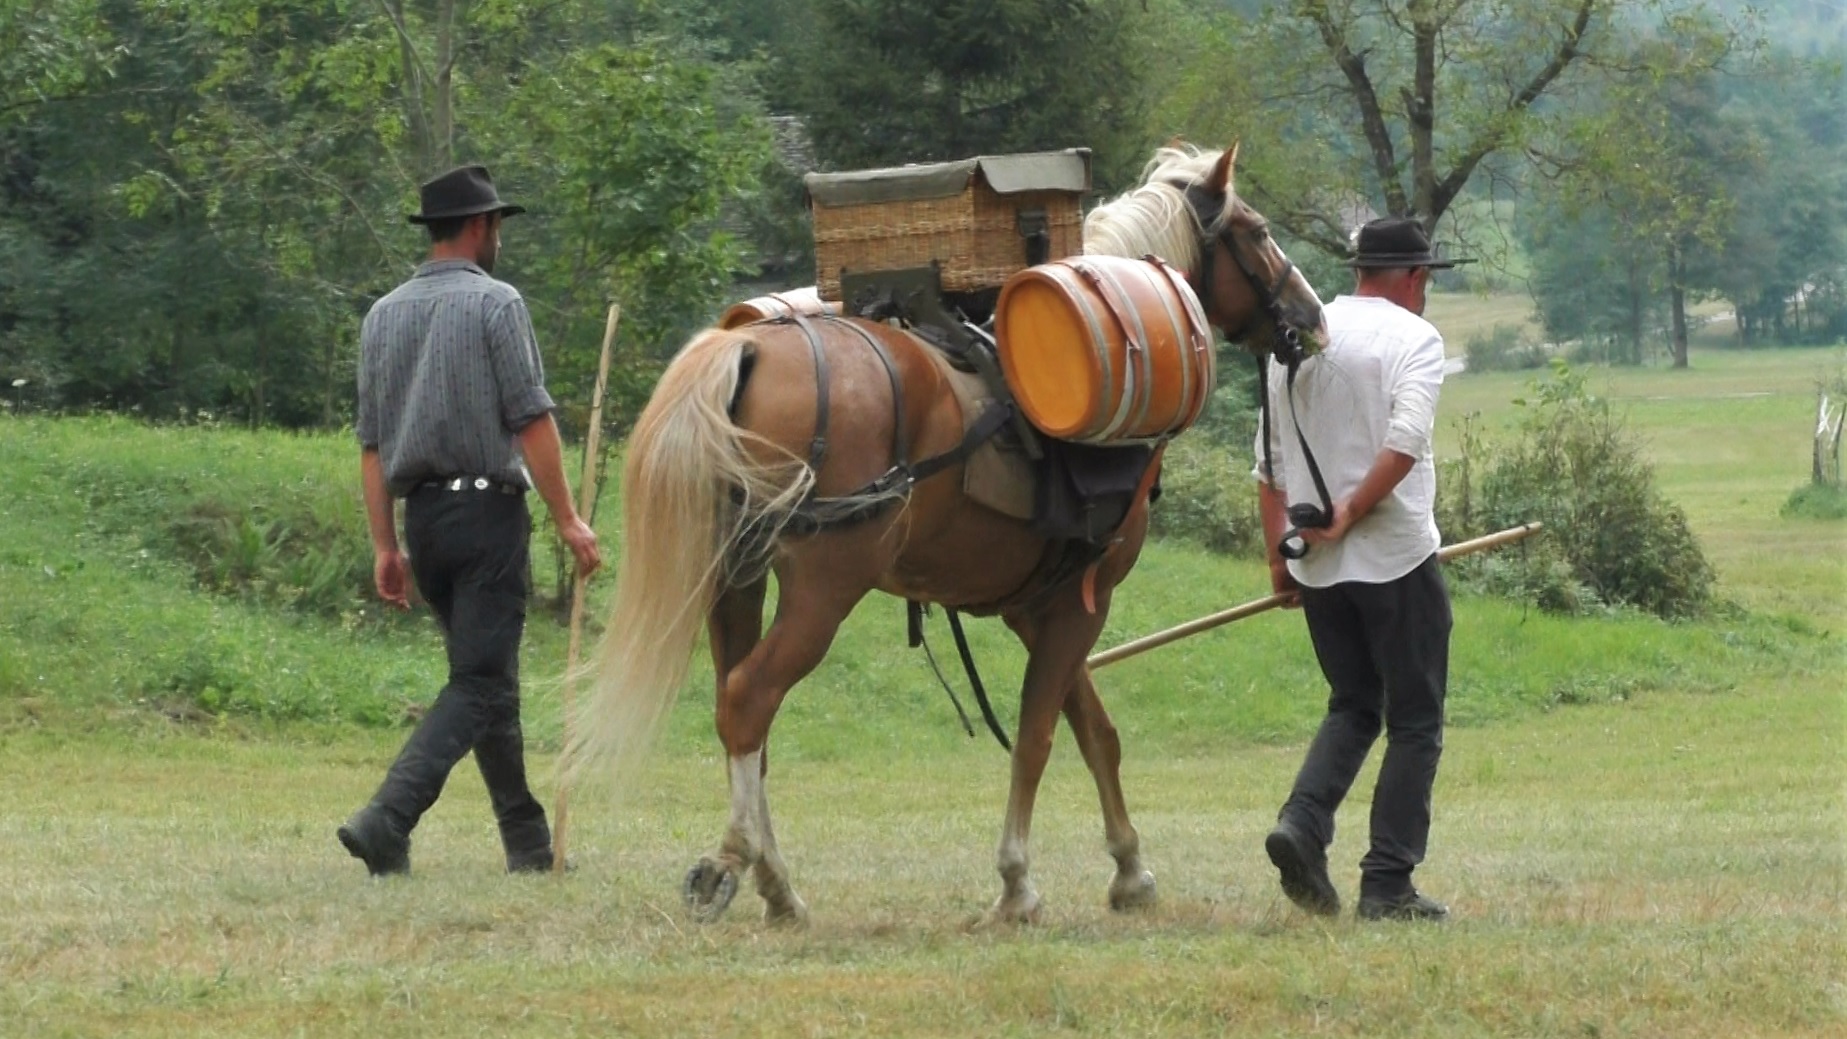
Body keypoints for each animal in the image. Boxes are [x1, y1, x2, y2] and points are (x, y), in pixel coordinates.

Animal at [568, 140, 1322, 926]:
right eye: (1259, 232)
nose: (1310, 315)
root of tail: (750, 347)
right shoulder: (1080, 603)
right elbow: (1037, 738)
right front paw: (1017, 884)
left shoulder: (1040, 607)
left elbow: (1095, 733)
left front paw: (1129, 869)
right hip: (822, 591)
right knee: (750, 699)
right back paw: (736, 863)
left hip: (734, 583)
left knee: (739, 714)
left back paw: (779, 884)